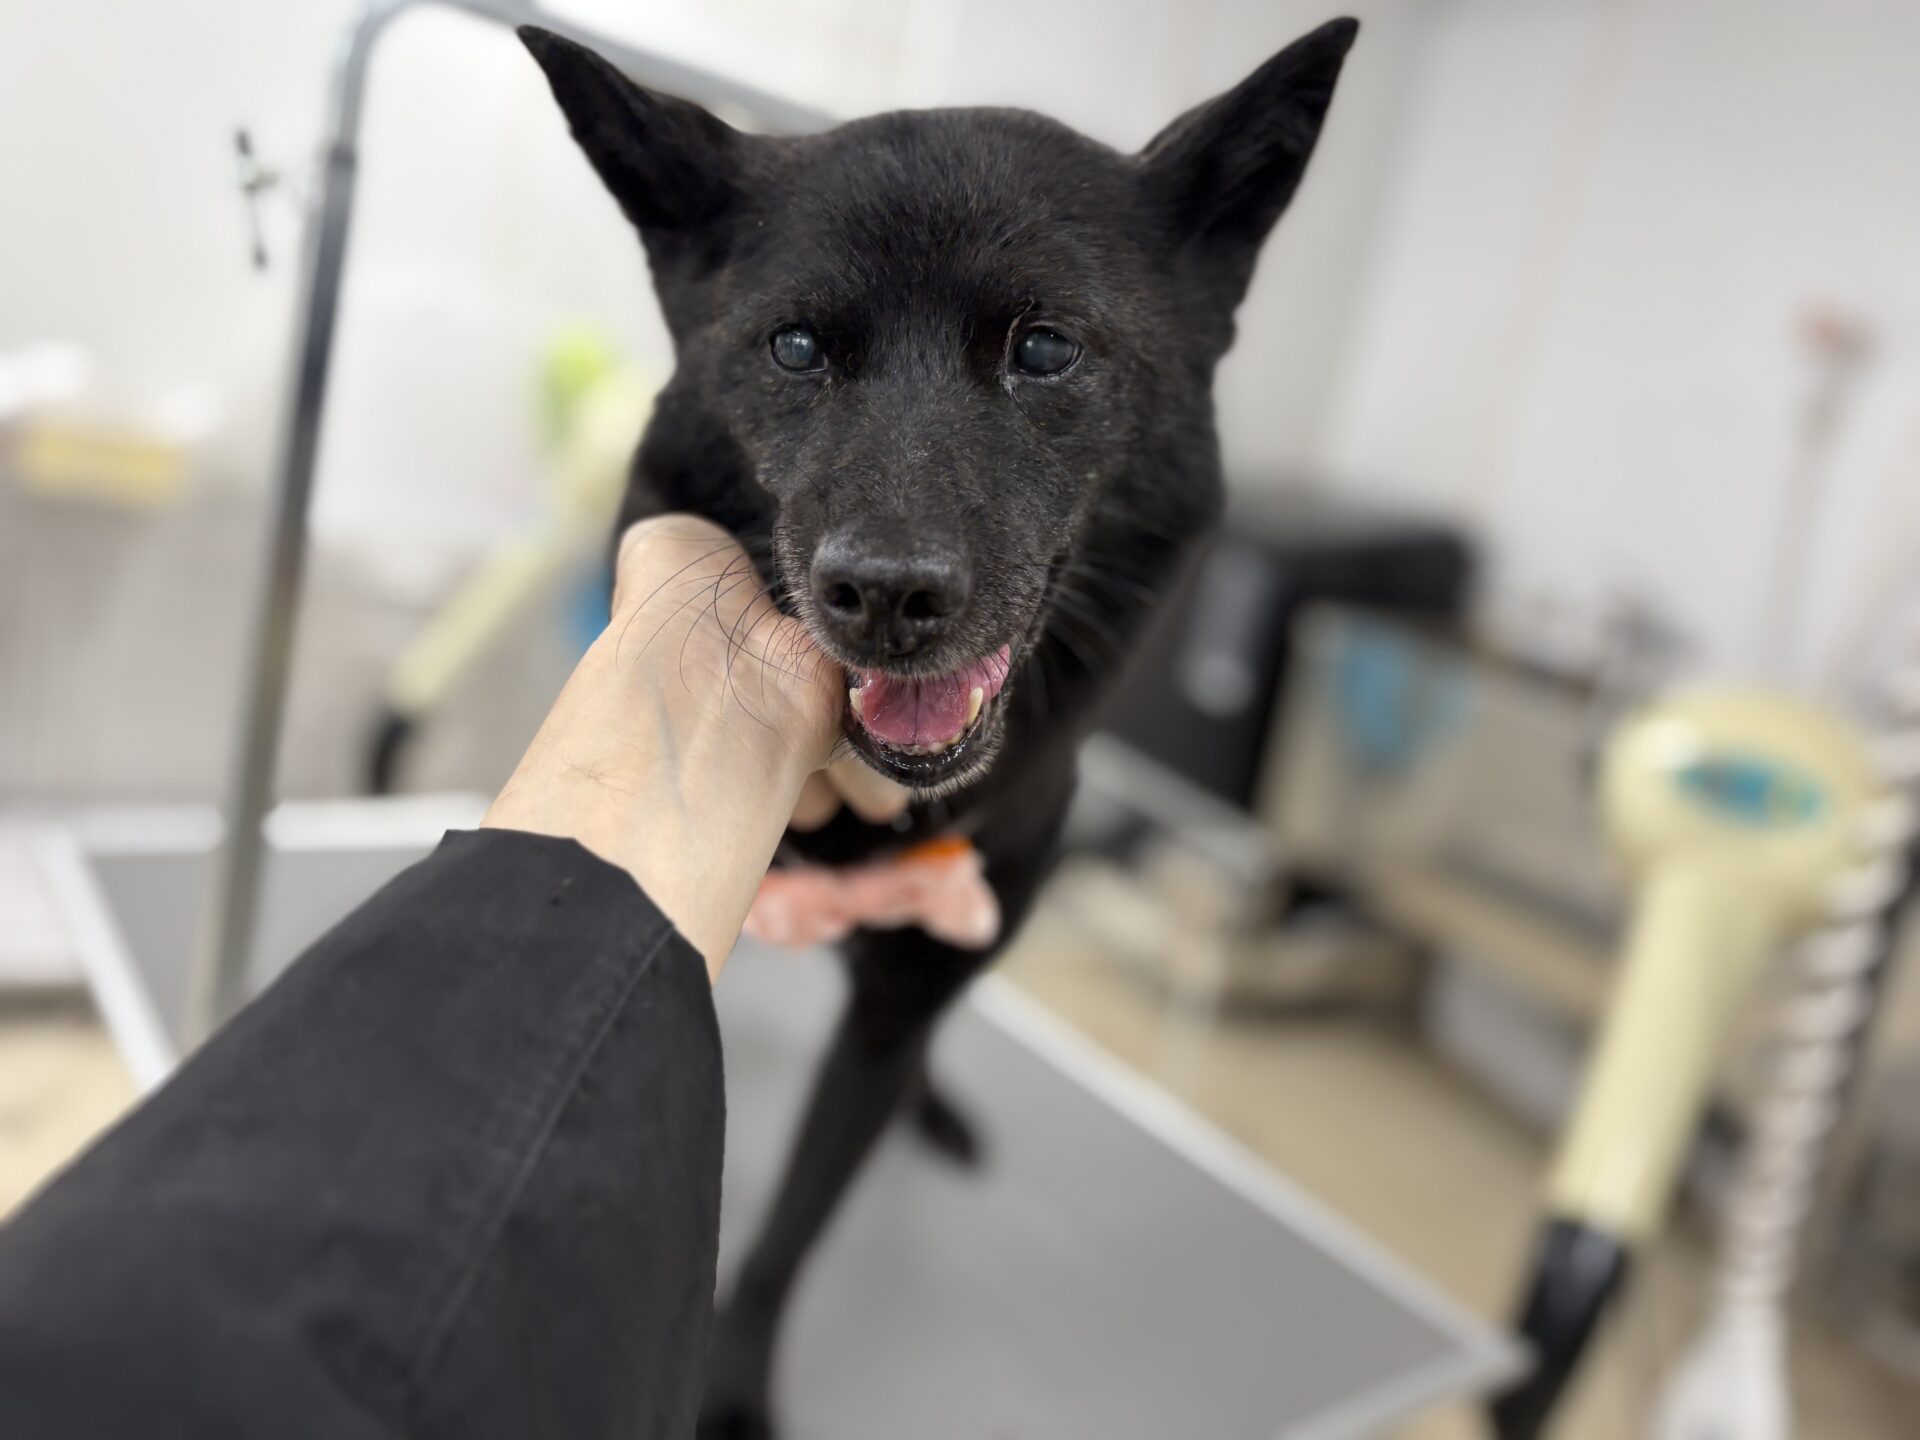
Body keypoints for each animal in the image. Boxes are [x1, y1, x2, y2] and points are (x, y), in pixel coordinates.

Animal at [523, 19, 1357, 1435]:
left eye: (1045, 348)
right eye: (798, 348)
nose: (885, 595)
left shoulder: (914, 974)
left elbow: (798, 1216)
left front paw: (733, 1388)